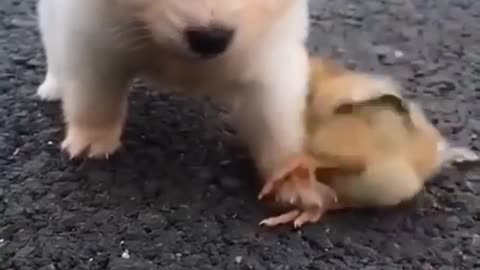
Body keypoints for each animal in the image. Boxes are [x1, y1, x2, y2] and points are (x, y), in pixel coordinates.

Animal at [35, 0, 310, 184]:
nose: (210, 39)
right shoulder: (94, 35)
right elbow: (95, 97)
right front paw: (92, 140)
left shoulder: (268, 55)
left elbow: (276, 119)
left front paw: (292, 177)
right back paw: (54, 86)